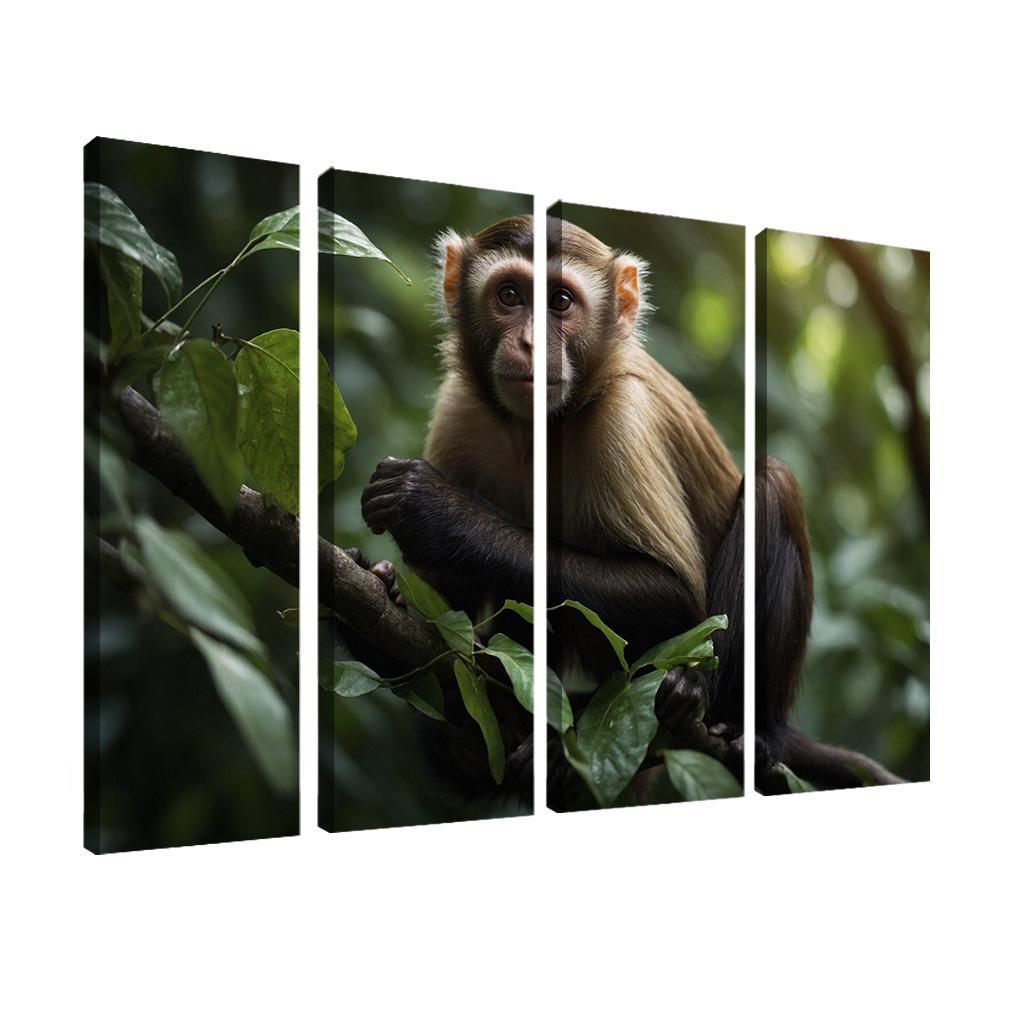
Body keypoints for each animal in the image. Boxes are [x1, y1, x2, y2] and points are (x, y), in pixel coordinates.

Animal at [358, 213, 902, 803]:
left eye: (561, 302)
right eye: (509, 295)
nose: (532, 342)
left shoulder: (622, 420)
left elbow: (674, 594)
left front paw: (437, 511)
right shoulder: (461, 412)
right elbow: (444, 611)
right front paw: (387, 583)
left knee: (772, 485)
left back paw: (734, 721)